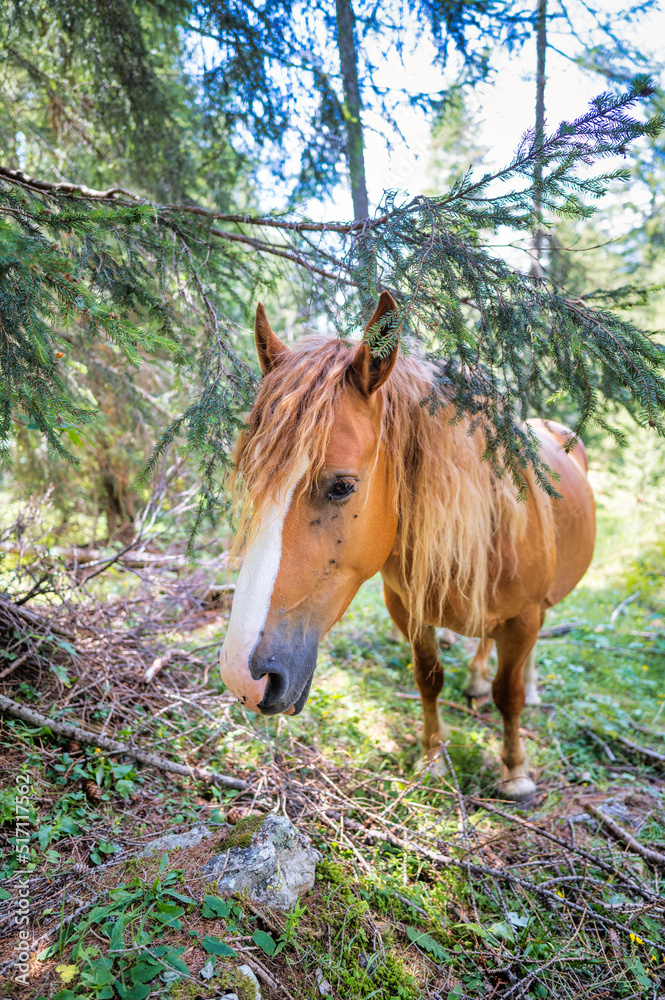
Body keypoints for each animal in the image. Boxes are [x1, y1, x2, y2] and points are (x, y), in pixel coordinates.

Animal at [220, 292, 596, 801]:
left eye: (342, 486)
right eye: (250, 476)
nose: (242, 676)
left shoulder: (522, 619)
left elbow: (509, 694)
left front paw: (515, 771)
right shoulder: (406, 606)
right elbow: (429, 677)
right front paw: (433, 758)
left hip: (538, 609)